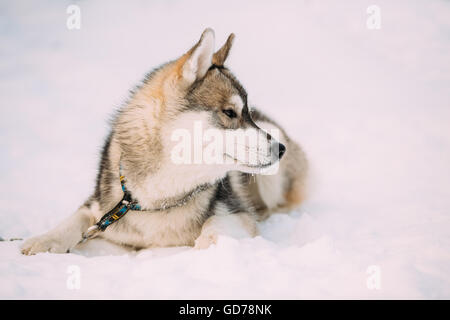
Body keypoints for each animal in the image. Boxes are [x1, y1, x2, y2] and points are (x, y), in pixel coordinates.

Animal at [22, 30, 308, 255]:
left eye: (246, 114)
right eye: (230, 112)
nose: (280, 149)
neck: (159, 199)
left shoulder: (238, 213)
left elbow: (216, 223)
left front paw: (208, 243)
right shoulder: (102, 206)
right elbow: (75, 219)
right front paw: (43, 241)